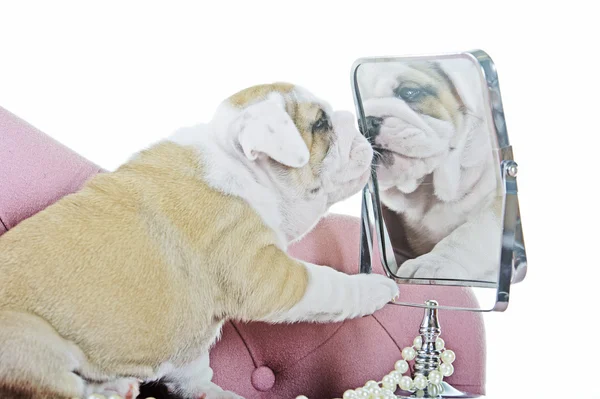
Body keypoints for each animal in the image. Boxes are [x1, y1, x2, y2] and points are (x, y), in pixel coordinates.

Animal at [0, 82, 398, 399]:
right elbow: (330, 286)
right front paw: (376, 288)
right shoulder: (267, 274)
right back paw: (111, 389)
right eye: (320, 124)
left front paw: (213, 393)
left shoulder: (190, 335)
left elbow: (192, 370)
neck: (236, 159)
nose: (360, 122)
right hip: (29, 337)